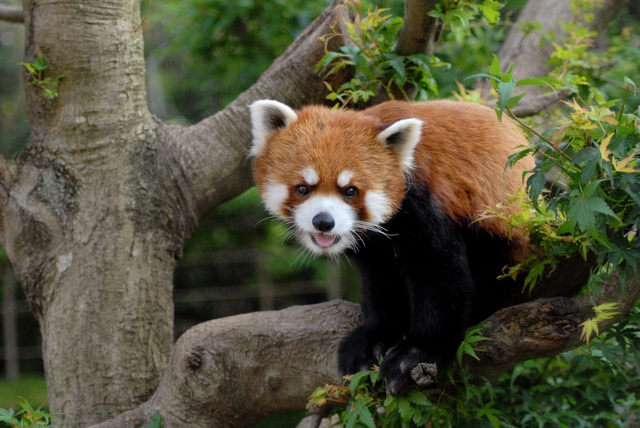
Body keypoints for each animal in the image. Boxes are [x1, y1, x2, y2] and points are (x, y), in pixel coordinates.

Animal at [249, 98, 536, 396]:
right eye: (303, 188)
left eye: (350, 191)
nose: (324, 222)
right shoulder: (375, 250)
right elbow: (382, 284)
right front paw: (375, 336)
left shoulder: (431, 205)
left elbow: (441, 279)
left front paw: (419, 351)